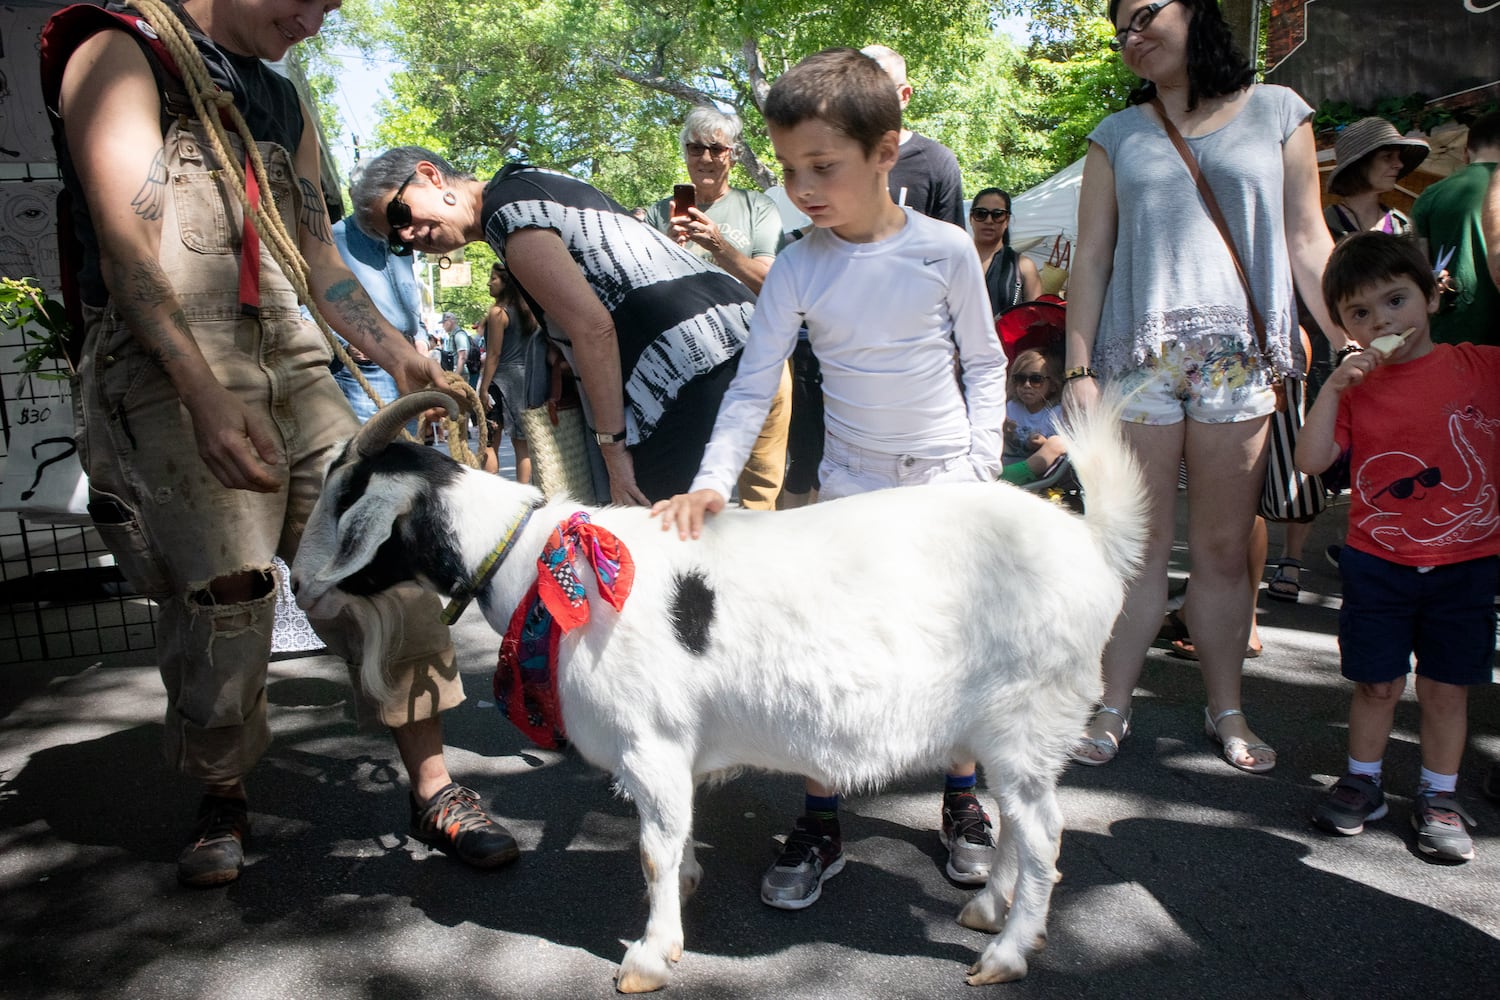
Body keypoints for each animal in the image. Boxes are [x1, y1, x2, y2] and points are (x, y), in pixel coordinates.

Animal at [292, 386, 1146, 989]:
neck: (532, 558)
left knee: (1045, 834)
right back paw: (987, 909)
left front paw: (649, 954)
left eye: (343, 494)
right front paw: (686, 893)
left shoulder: (650, 740)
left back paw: (1006, 953)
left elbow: (652, 850)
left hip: (1028, 714)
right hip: (1011, 733)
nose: (297, 583)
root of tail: (1091, 543)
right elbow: (670, 839)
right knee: (1021, 826)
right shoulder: (669, 753)